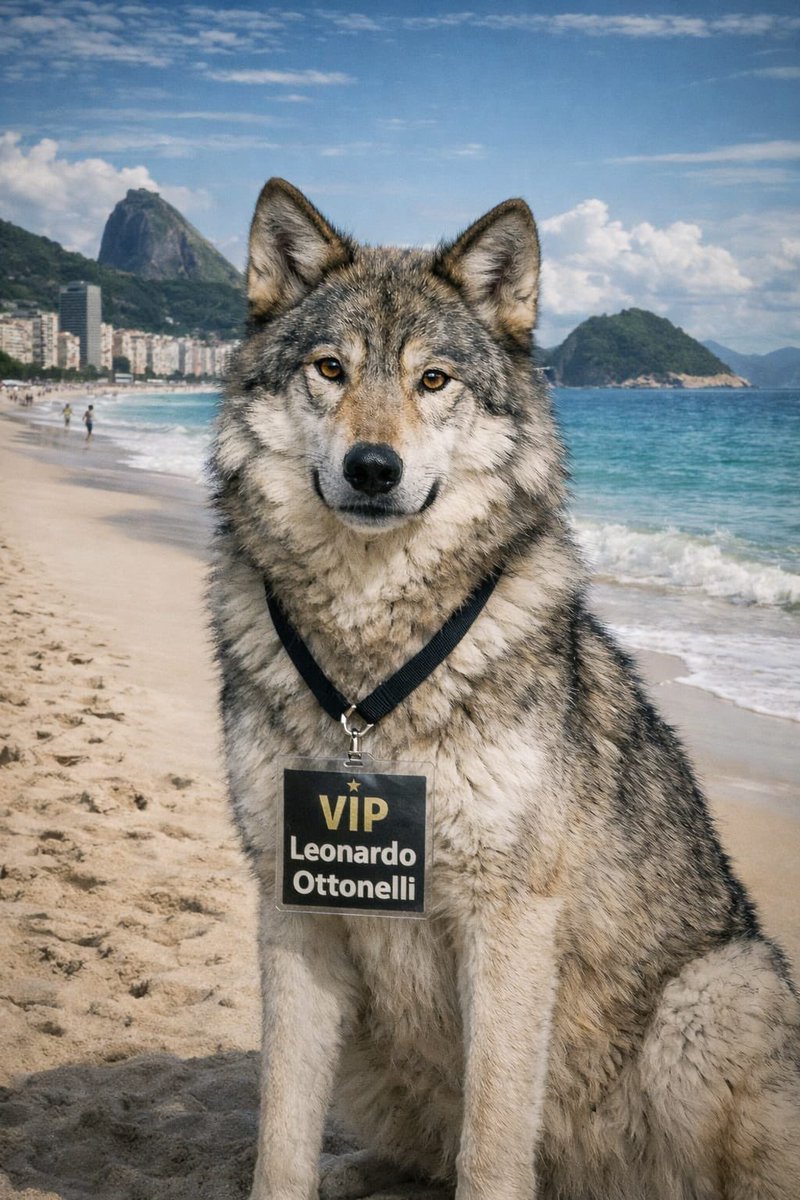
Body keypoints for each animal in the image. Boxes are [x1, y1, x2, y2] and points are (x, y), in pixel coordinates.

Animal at [210, 178, 800, 1200]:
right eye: (330, 369)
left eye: (434, 381)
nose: (374, 467)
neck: (370, 680)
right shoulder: (292, 912)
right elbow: (281, 1138)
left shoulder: (512, 920)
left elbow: (490, 1145)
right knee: (411, 1154)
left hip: (713, 997)